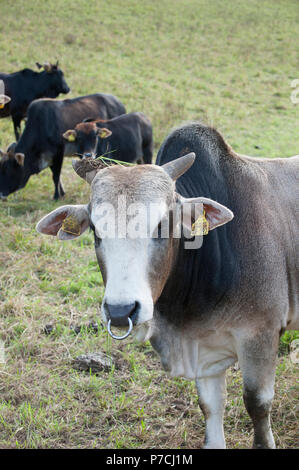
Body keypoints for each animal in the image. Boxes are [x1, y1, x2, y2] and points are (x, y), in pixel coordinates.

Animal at [35, 122, 299, 448]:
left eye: (162, 224)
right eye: (95, 229)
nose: (121, 311)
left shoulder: (260, 336)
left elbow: (257, 405)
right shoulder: (203, 350)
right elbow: (211, 406)